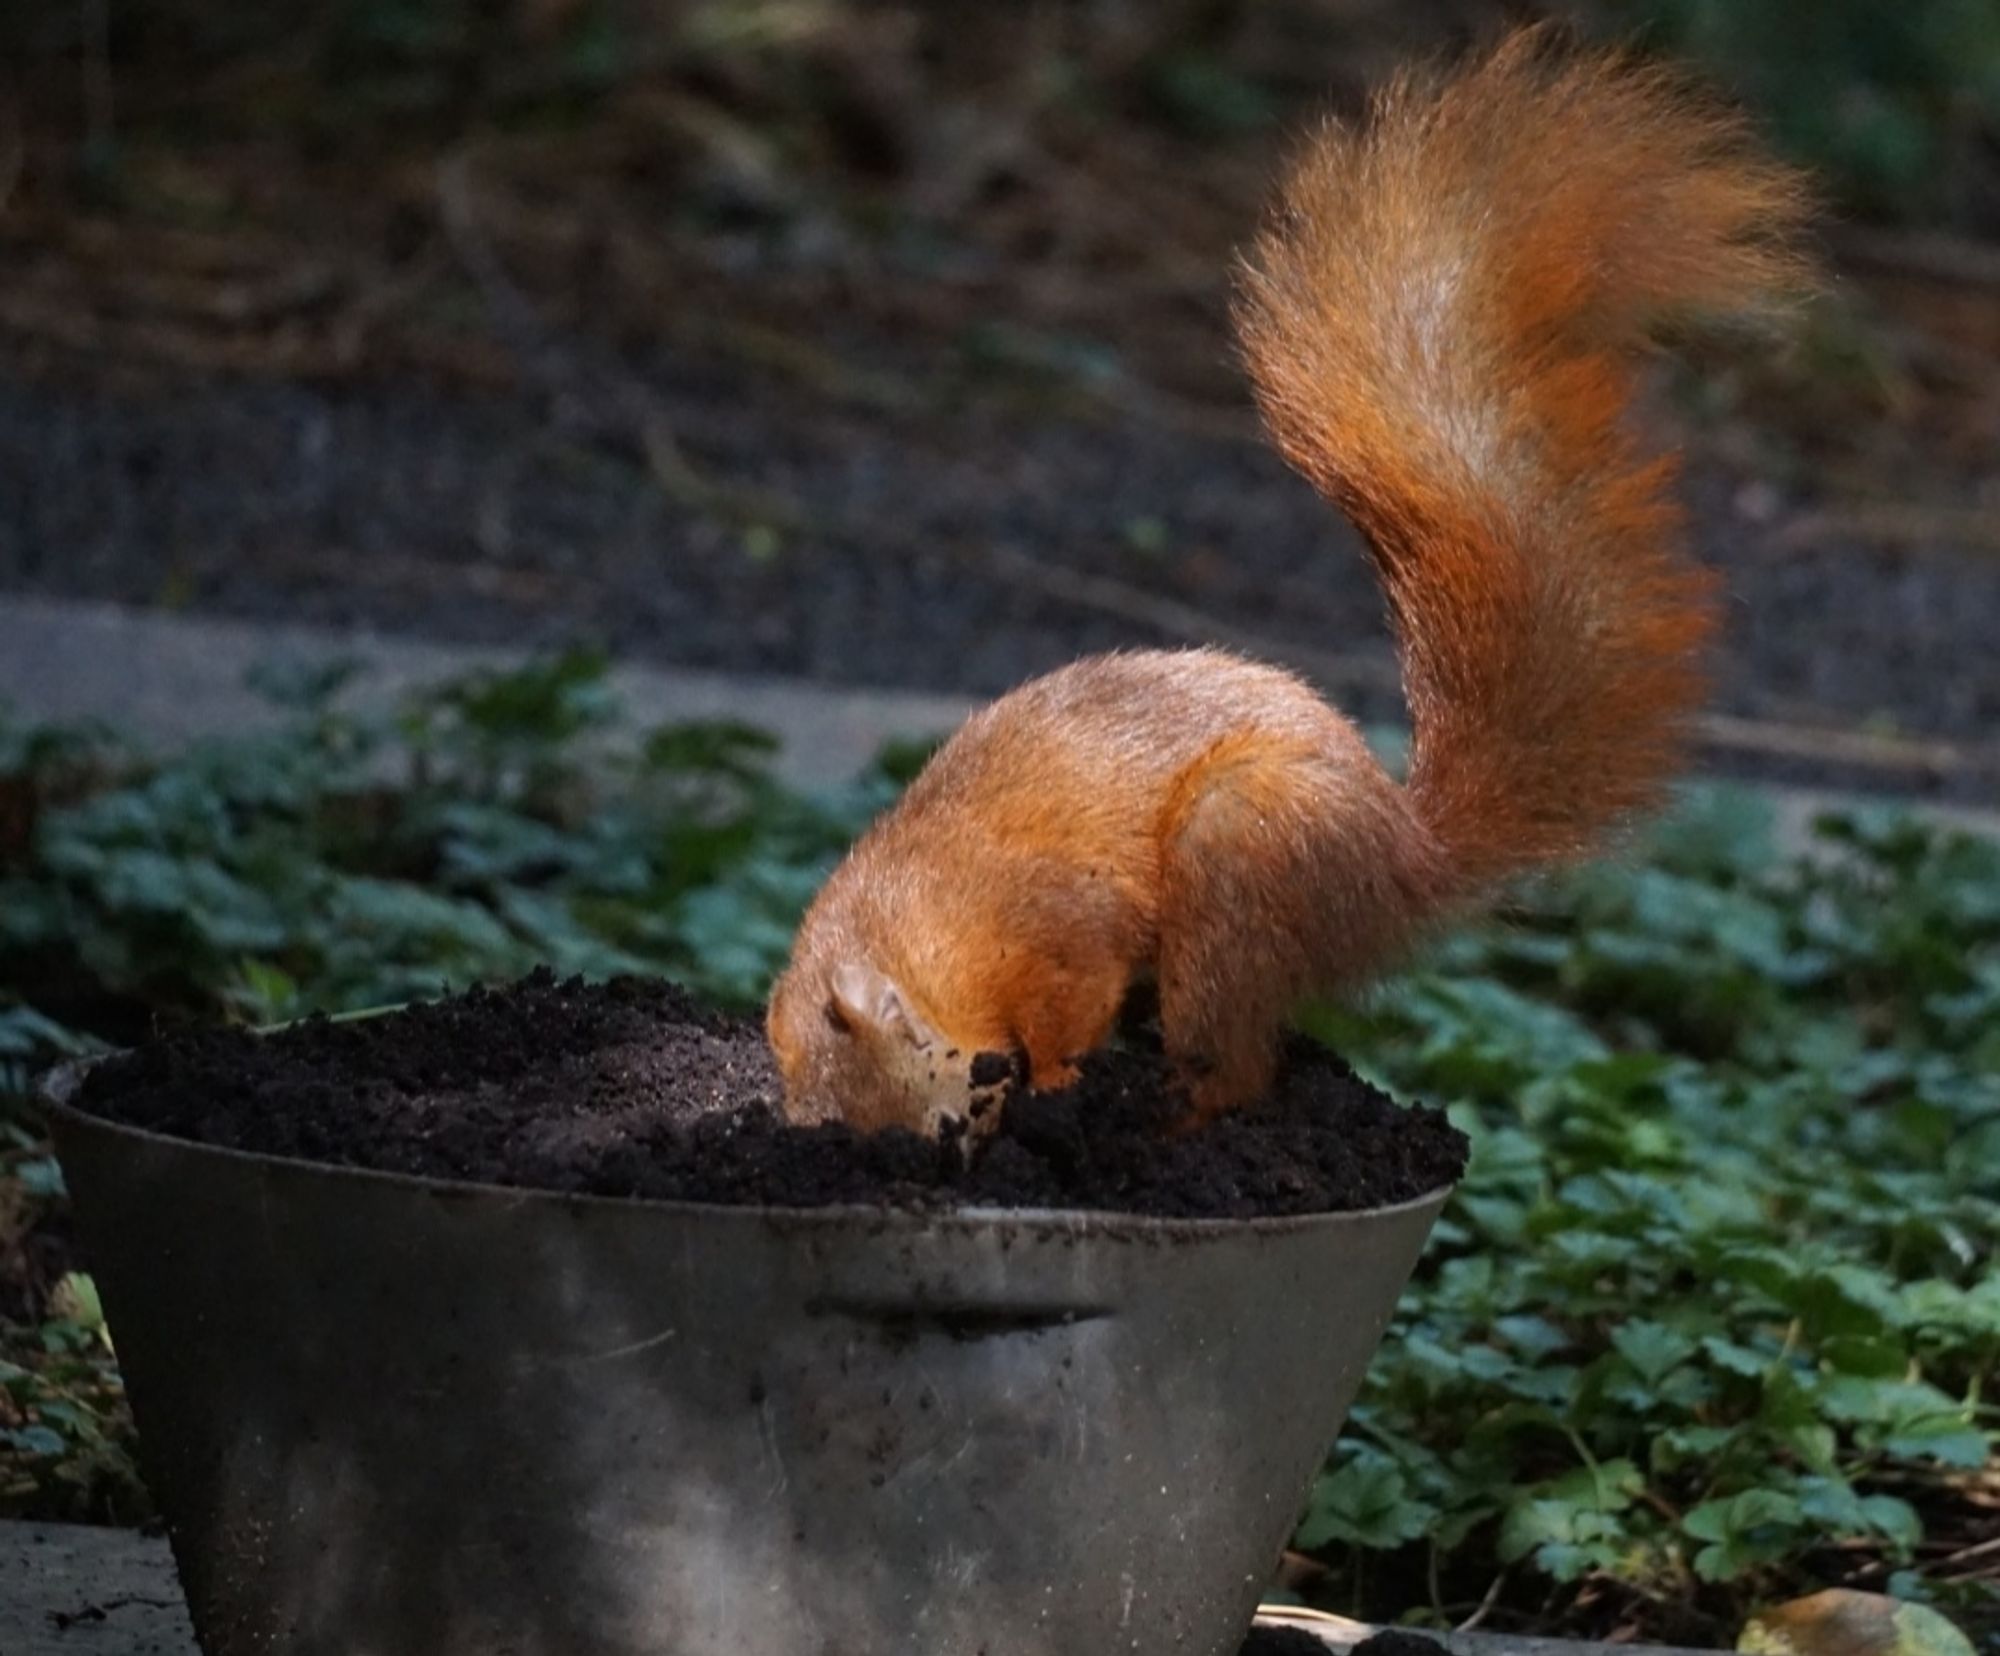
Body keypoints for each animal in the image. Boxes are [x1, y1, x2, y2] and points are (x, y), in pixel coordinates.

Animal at [760, 29, 1816, 1136]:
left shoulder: (1058, 923)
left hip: (1242, 849)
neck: (924, 914)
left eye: (944, 1091)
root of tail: (1403, 866)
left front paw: (1053, 1082)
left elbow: (1071, 998)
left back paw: (1175, 1105)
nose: (972, 1135)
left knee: (1236, 1059)